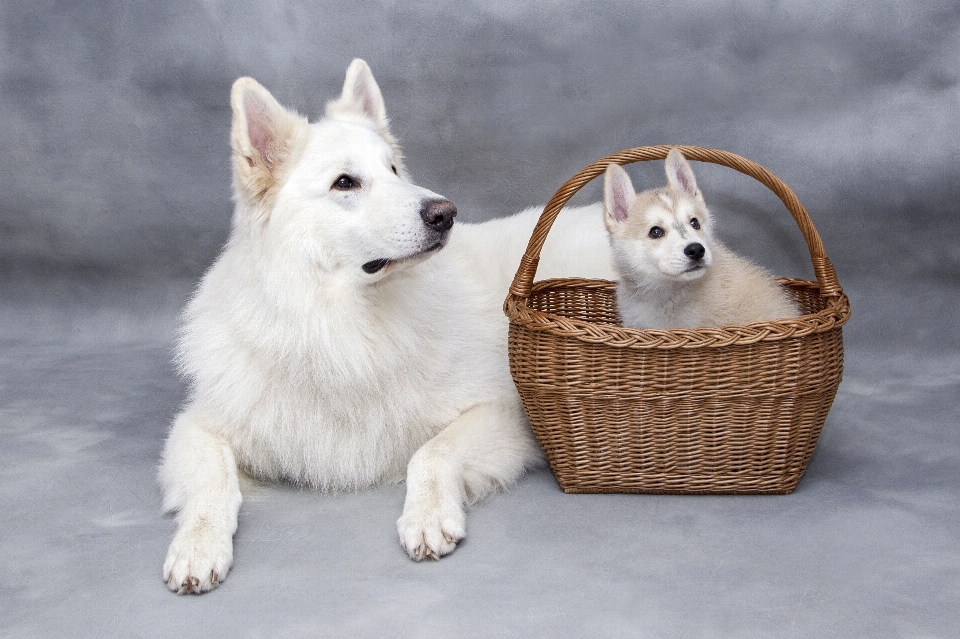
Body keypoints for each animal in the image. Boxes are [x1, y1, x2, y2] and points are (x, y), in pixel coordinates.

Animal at [157, 60, 608, 596]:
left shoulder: (503, 413)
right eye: (345, 183)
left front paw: (427, 516)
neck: (343, 327)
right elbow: (214, 478)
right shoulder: (199, 425)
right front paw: (197, 545)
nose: (445, 213)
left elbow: (431, 453)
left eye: (394, 170)